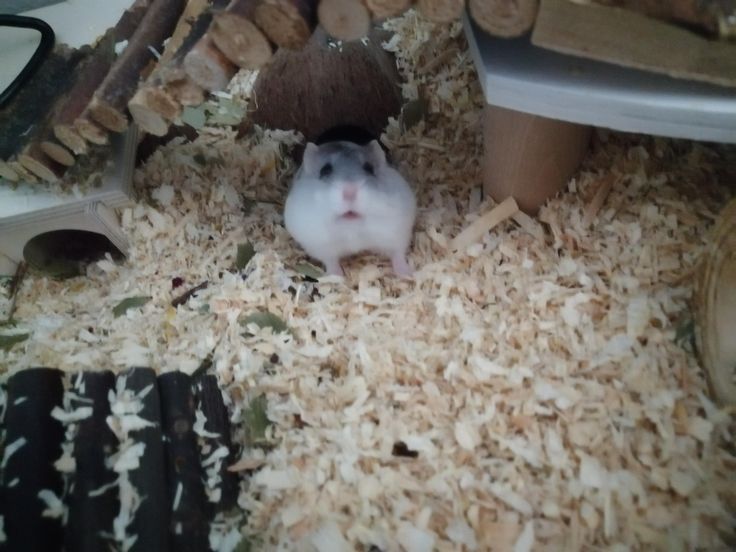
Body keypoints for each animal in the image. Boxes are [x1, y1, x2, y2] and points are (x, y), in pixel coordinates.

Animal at [284, 140, 417, 277]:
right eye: (324, 170)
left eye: (369, 168)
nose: (350, 191)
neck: (352, 229)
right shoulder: (320, 245)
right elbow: (331, 262)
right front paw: (336, 277)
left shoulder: (398, 233)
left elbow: (398, 254)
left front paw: (408, 274)